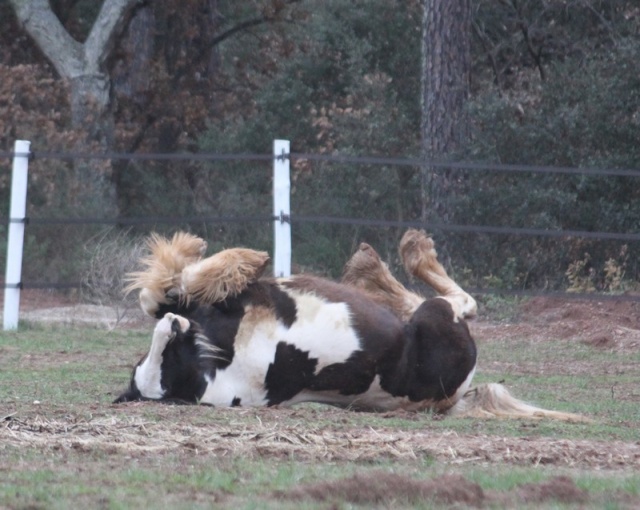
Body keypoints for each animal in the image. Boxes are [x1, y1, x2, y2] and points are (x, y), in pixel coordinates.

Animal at [115, 229, 584, 420]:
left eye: (168, 354)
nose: (177, 327)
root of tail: (457, 393)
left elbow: (156, 294)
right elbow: (177, 286)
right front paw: (241, 259)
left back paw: (370, 268)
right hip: (437, 317)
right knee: (458, 300)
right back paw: (394, 257)